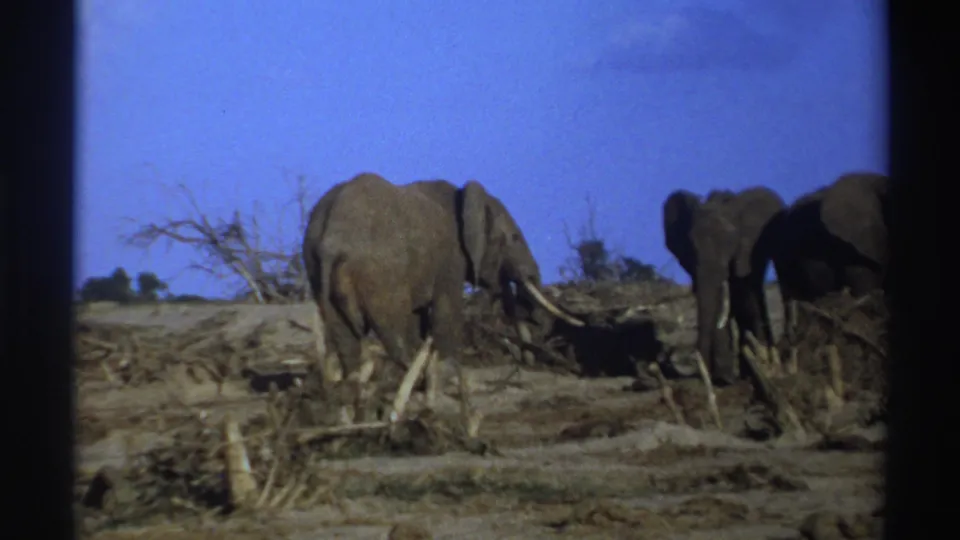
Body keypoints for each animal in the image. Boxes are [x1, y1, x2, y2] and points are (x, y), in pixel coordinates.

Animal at [302, 172, 584, 422]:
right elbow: (447, 310)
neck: (465, 197)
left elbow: (419, 320)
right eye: (514, 238)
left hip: (317, 271)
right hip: (379, 275)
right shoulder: (451, 259)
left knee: (347, 342)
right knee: (393, 334)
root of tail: (331, 241)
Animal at [662, 186, 787, 386]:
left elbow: (743, 297)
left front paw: (726, 379)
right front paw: (723, 379)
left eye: (730, 243)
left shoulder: (745, 252)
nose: (702, 372)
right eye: (691, 244)